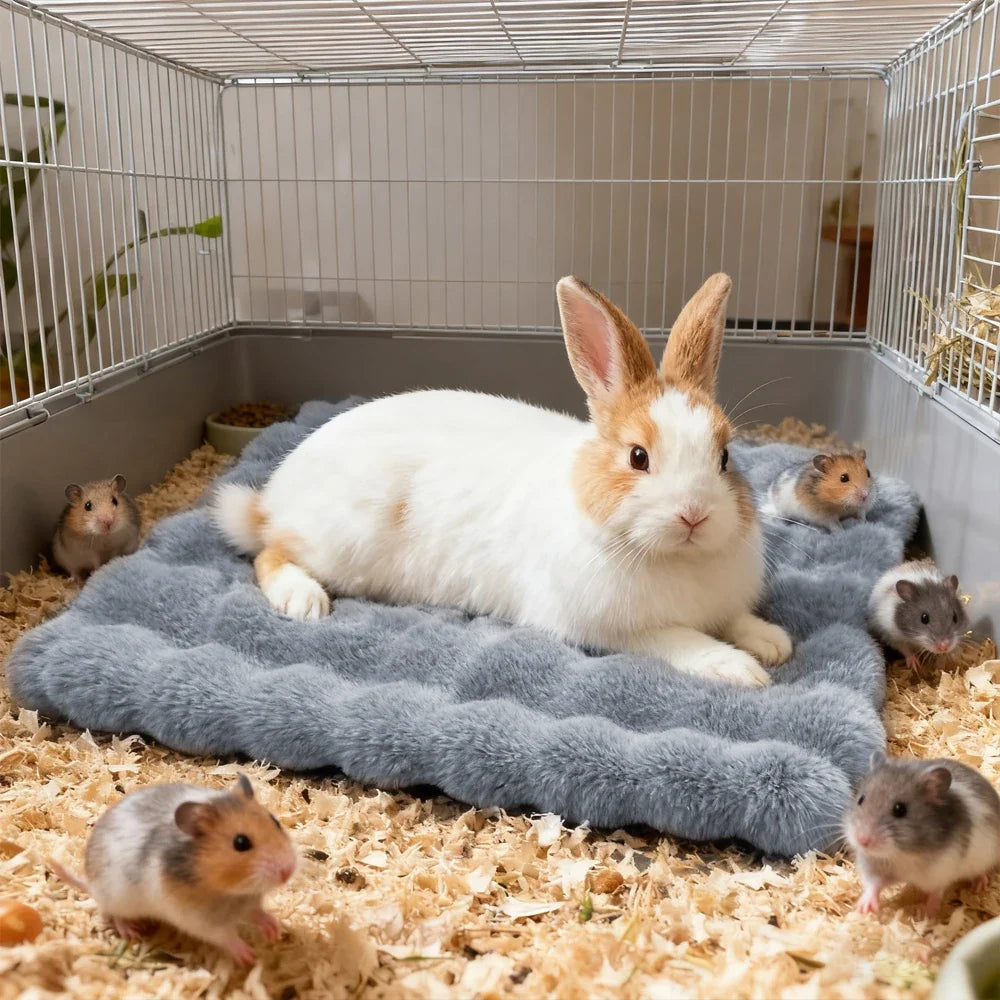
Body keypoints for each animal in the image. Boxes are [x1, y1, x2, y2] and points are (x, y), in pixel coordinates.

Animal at [213, 274, 792, 688]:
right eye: (637, 456)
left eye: (724, 456)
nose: (695, 515)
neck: (675, 558)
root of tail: (273, 497)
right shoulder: (615, 629)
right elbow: (683, 641)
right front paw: (739, 668)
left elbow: (735, 619)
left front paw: (772, 641)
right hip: (338, 544)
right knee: (270, 553)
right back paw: (304, 601)